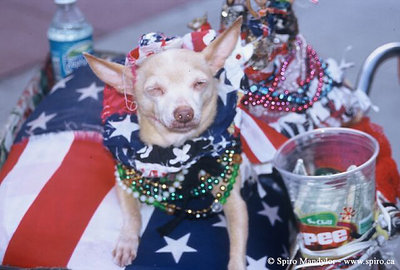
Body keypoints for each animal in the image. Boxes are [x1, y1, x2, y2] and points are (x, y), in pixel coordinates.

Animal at [83, 17, 248, 268]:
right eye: (155, 90)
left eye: (200, 84)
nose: (184, 113)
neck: (178, 148)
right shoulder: (123, 181)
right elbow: (132, 215)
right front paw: (126, 241)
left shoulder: (235, 203)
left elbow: (238, 245)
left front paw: (236, 264)